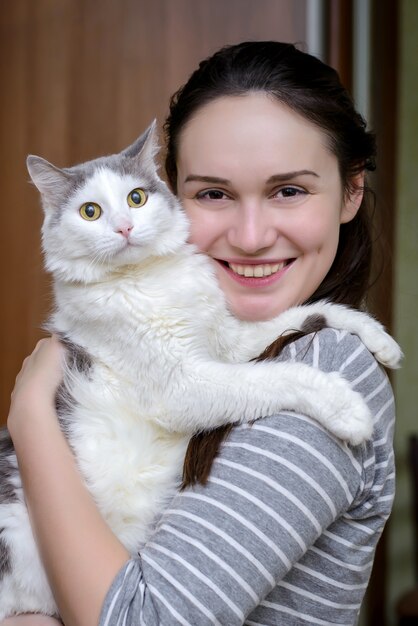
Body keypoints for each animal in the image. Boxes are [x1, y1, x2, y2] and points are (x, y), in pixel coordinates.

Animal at [0, 120, 402, 616]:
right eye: (90, 211)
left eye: (137, 198)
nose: (125, 227)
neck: (149, 279)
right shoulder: (182, 386)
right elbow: (276, 376)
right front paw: (347, 408)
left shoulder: (228, 341)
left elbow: (308, 313)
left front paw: (378, 338)